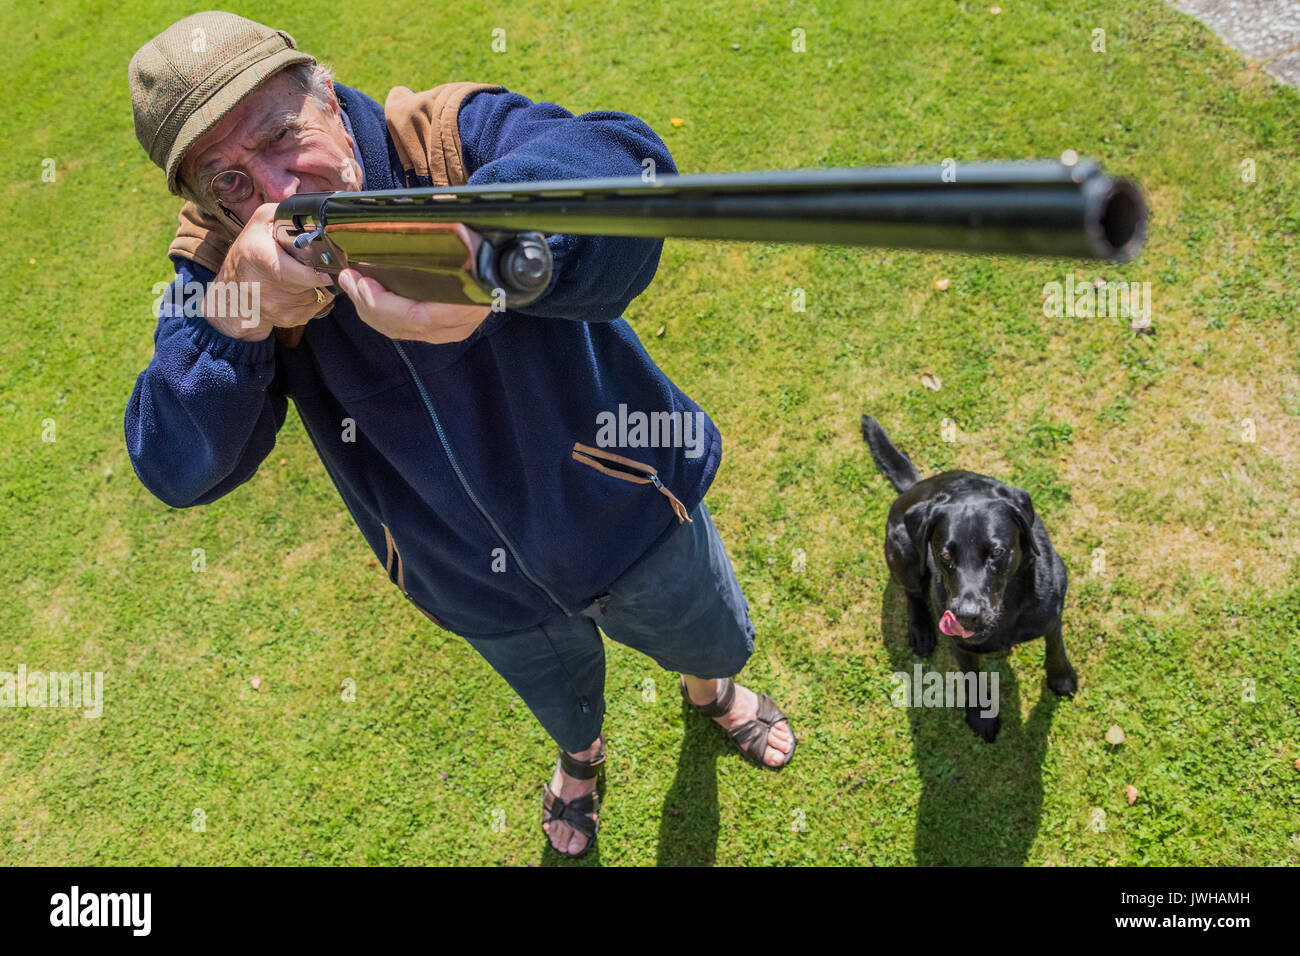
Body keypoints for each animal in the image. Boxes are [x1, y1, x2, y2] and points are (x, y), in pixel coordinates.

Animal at [863, 416, 1076, 738]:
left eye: (997, 552)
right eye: (945, 555)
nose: (966, 615)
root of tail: (914, 487)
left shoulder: (1052, 612)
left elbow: (1055, 645)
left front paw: (1061, 677)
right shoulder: (961, 646)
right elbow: (971, 677)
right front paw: (981, 715)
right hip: (903, 552)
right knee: (913, 594)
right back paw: (921, 630)